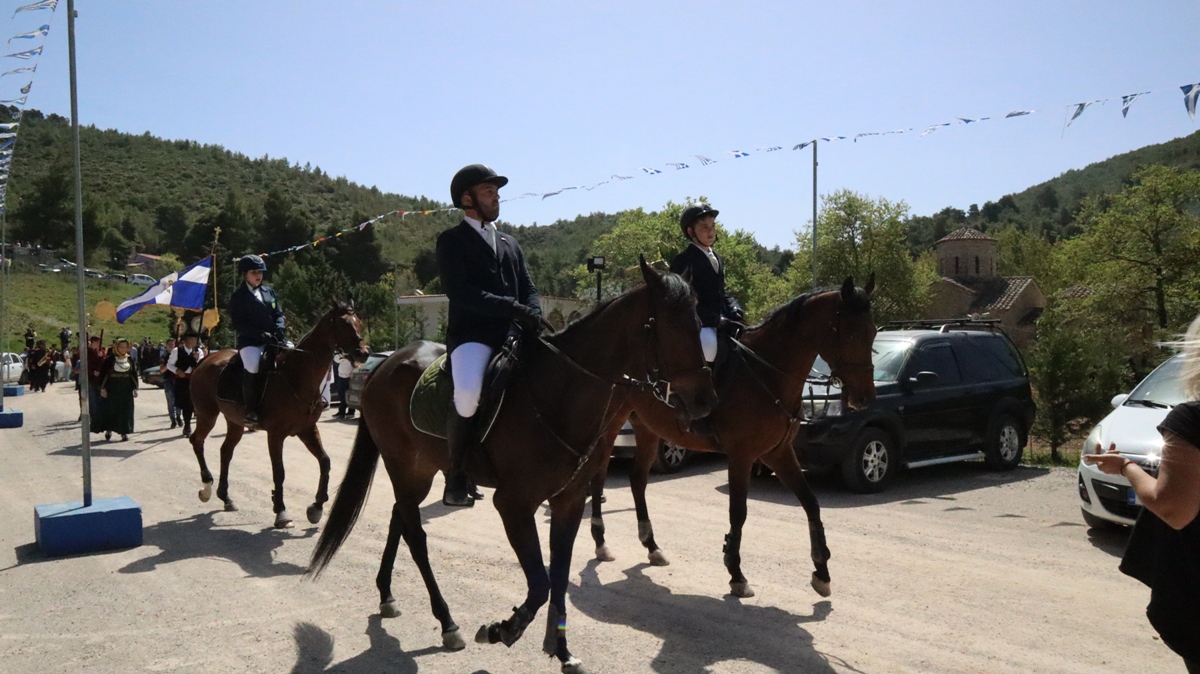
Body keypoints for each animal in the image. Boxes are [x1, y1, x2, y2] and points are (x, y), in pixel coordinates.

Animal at [187, 302, 369, 527]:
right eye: (344, 324)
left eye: (359, 322)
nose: (364, 353)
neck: (297, 375)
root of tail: (205, 360)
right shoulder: (275, 435)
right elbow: (279, 472)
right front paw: (281, 511)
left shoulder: (307, 429)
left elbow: (325, 461)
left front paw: (316, 507)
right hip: (207, 415)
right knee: (197, 441)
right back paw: (206, 487)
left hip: (234, 422)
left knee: (225, 451)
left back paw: (226, 497)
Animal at [309, 260, 715, 671]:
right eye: (667, 326)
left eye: (699, 324)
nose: (705, 401)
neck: (559, 394)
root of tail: (383, 366)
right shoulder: (514, 505)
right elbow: (541, 582)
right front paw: (503, 629)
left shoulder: (568, 503)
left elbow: (559, 576)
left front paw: (562, 649)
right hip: (404, 465)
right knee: (417, 538)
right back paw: (447, 622)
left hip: (420, 470)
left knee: (400, 519)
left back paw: (387, 595)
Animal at [592, 275, 883, 594]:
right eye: (851, 335)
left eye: (872, 333)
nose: (865, 398)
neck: (768, 373)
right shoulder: (741, 455)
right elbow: (738, 511)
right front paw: (736, 572)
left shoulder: (778, 452)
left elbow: (811, 503)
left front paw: (821, 571)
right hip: (608, 427)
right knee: (598, 476)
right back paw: (600, 542)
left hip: (647, 428)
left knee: (637, 480)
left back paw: (652, 546)